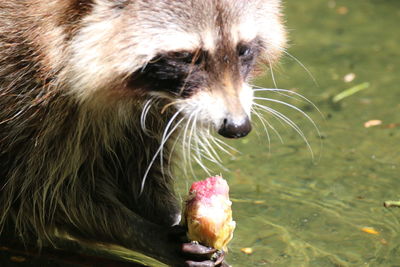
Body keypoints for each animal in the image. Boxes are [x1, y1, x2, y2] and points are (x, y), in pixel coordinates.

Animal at [0, 0, 288, 266]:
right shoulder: (30, 102)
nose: (238, 126)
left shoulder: (154, 111)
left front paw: (172, 218)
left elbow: (139, 172)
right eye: (186, 57)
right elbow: (42, 195)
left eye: (243, 50)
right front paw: (149, 235)